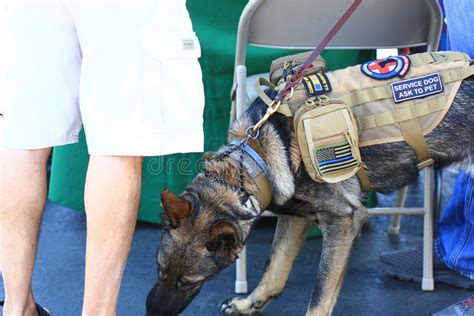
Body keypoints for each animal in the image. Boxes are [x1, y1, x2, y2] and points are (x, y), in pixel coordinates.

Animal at [146, 77, 472, 316]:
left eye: (190, 282)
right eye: (160, 270)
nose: (153, 312)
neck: (254, 159)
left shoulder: (344, 222)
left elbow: (320, 294)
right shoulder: (296, 218)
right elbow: (274, 269)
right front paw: (249, 304)